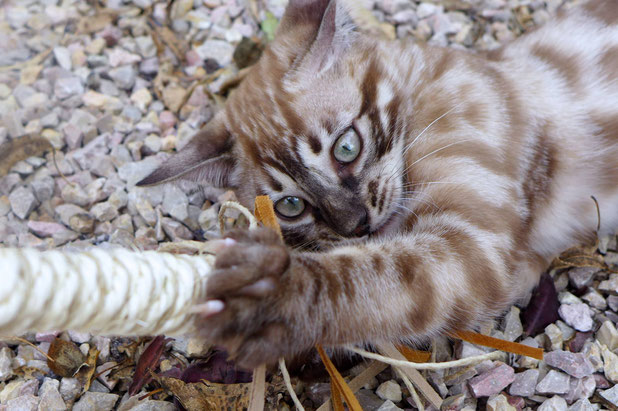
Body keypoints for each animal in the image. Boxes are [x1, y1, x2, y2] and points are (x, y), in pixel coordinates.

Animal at [140, 0, 616, 368]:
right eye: (290, 205)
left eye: (346, 147)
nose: (356, 226)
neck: (419, 84)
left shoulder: (471, 243)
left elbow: (364, 278)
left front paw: (274, 296)